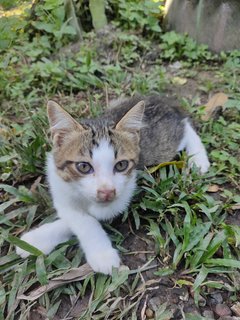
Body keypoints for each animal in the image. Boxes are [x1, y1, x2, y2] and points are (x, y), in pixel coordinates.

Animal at [15, 94, 209, 274]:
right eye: (83, 166)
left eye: (121, 165)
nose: (106, 192)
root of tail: (163, 101)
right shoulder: (58, 185)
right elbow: (76, 217)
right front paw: (34, 241)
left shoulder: (123, 194)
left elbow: (92, 217)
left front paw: (102, 255)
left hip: (163, 144)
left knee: (185, 127)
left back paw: (199, 159)